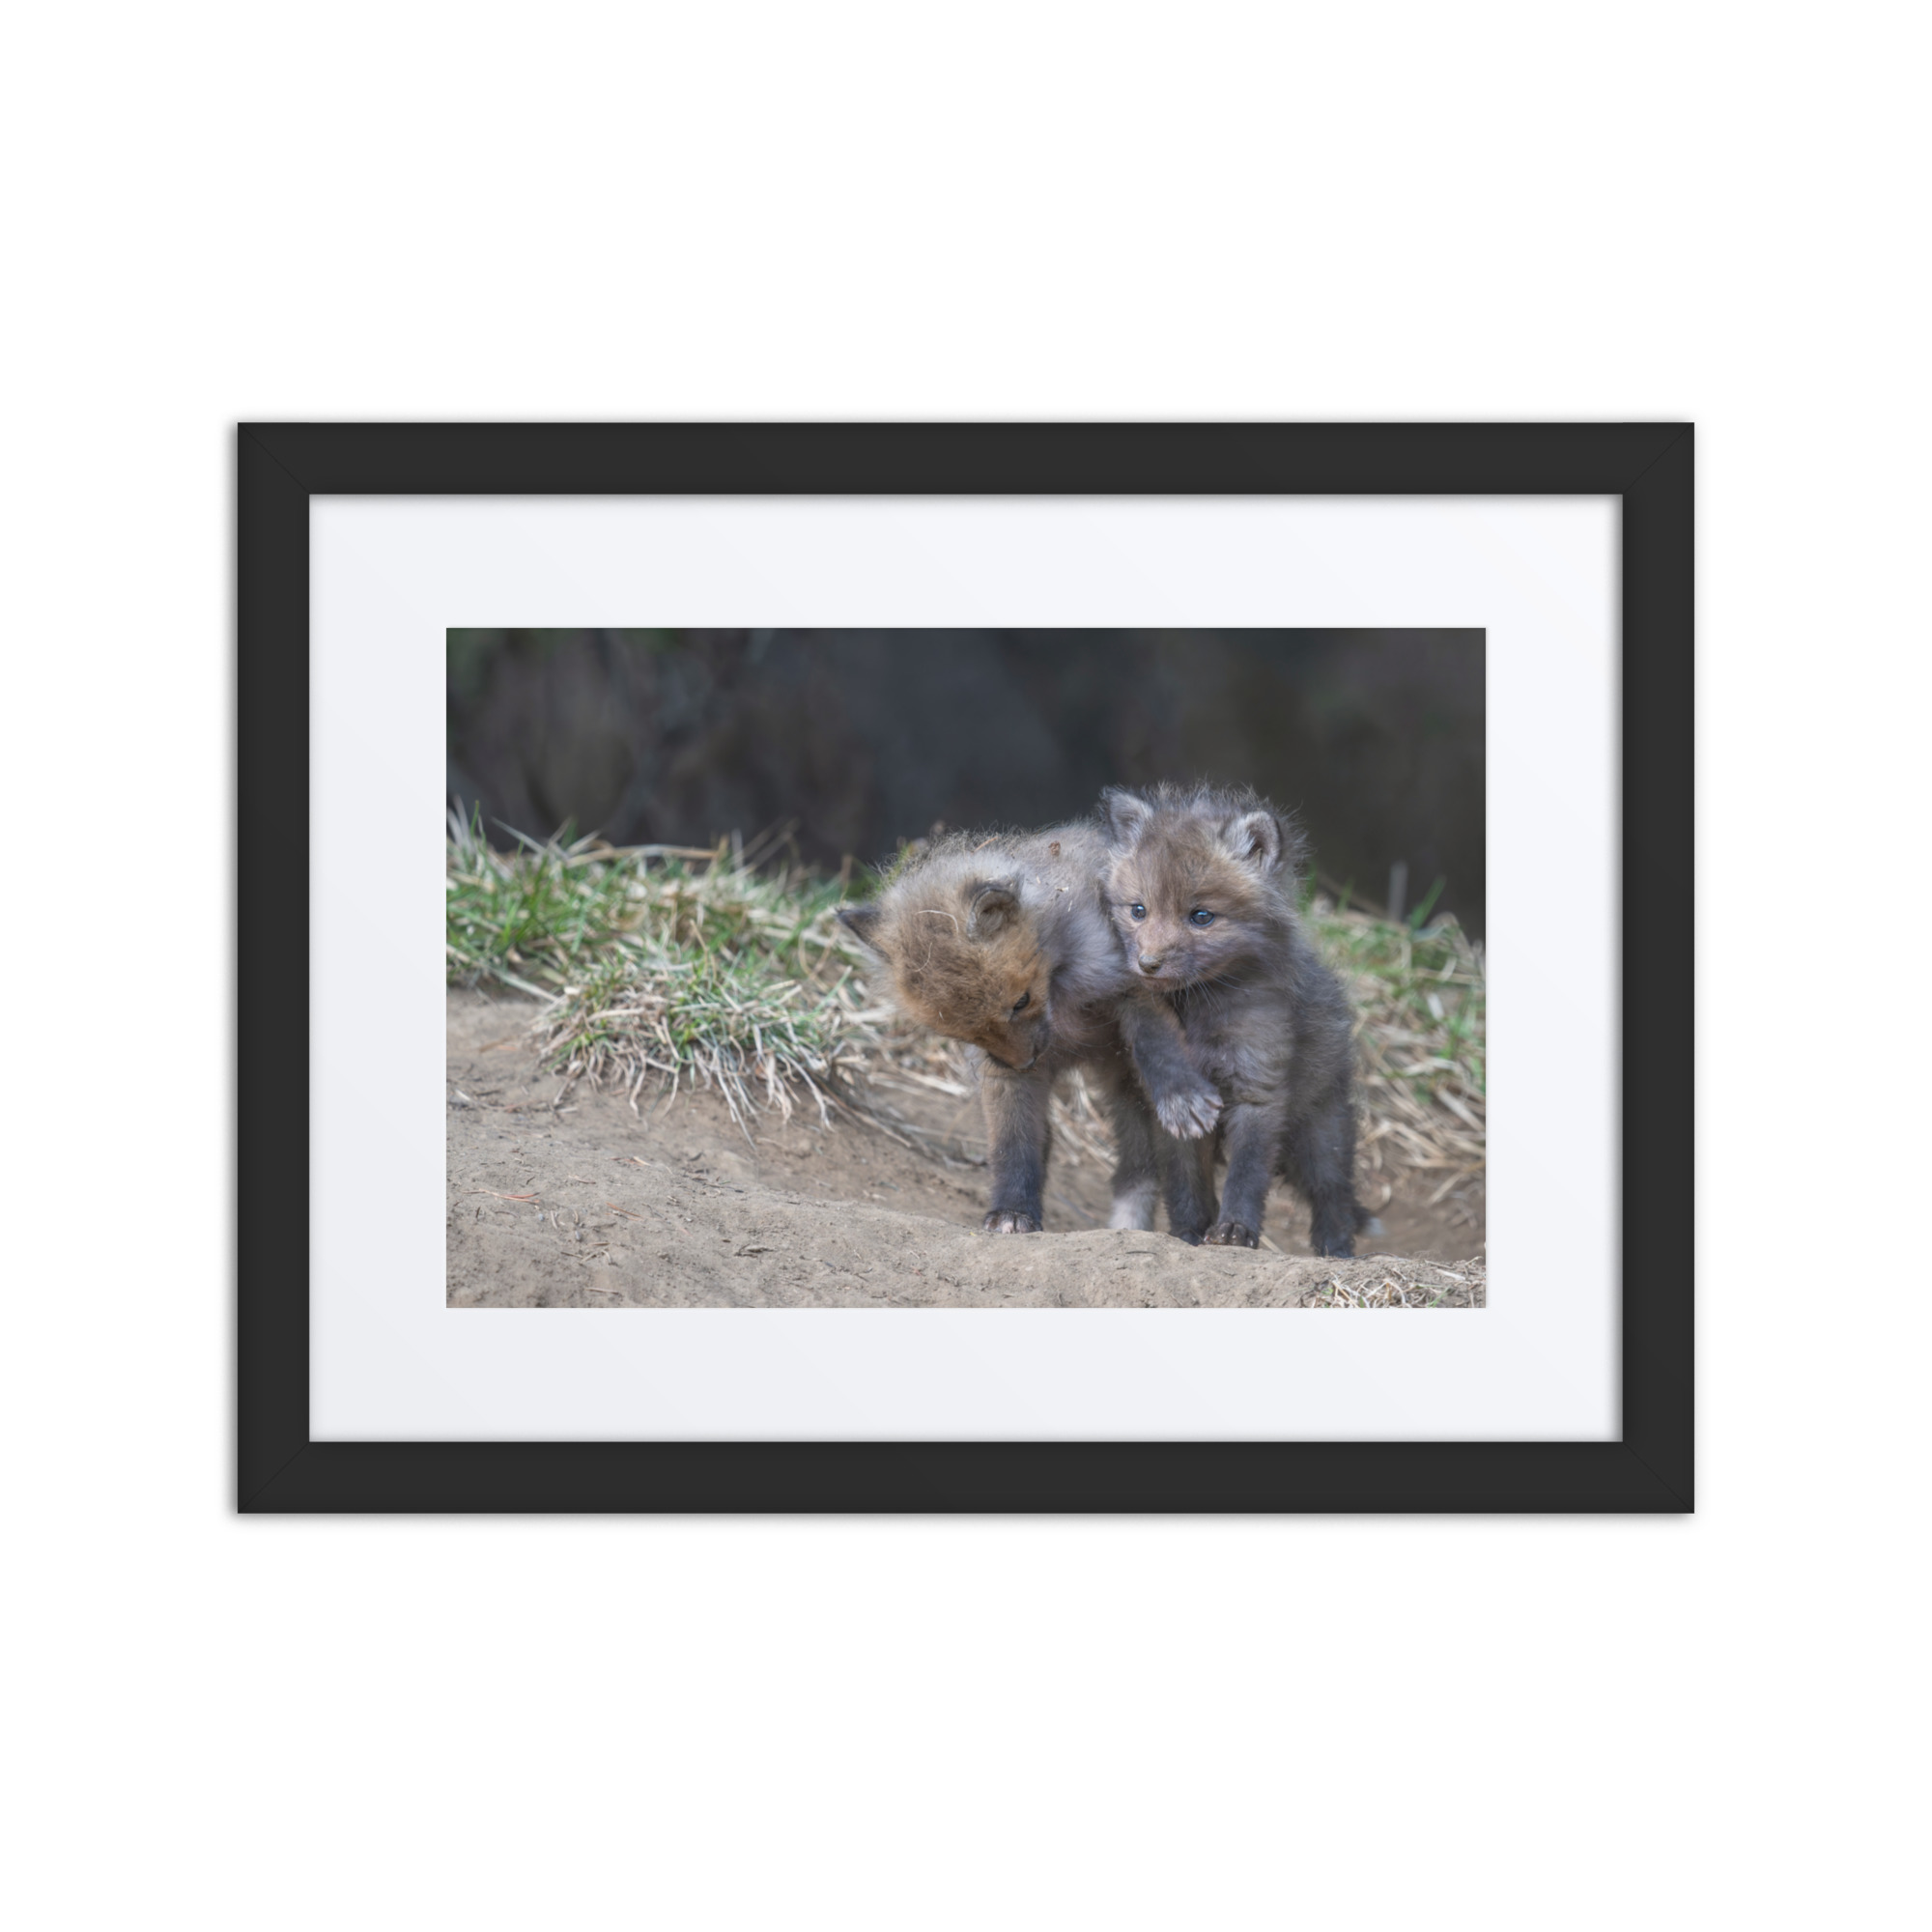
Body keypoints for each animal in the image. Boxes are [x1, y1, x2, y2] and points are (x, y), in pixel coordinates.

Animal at [837, 823, 1223, 1235]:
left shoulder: (1133, 984)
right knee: (1135, 1167)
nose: (1024, 1063)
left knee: (1181, 1172)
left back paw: (1191, 1232)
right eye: (963, 1033)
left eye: (1020, 1002)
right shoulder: (1000, 1072)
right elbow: (1013, 1144)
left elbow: (1157, 1044)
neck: (1061, 996)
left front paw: (1181, 1096)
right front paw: (1012, 1211)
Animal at [1099, 783, 1367, 1256]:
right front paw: (1188, 1233)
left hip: (1321, 1133)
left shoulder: (1258, 1088)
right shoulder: (1175, 1109)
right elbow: (1186, 1182)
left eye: (1201, 916)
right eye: (1138, 910)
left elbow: (1247, 1174)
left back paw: (1336, 1253)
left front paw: (1235, 1231)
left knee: (1334, 1193)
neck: (1200, 1012)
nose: (1147, 964)